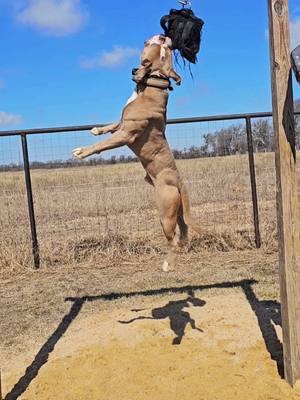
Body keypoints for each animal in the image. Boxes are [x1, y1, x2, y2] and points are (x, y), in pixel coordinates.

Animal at [73, 36, 202, 272]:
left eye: (163, 53)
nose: (163, 37)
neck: (151, 84)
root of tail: (179, 181)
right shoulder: (121, 124)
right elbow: (110, 126)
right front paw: (96, 130)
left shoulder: (126, 134)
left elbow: (101, 145)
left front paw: (82, 152)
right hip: (177, 210)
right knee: (184, 228)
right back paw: (183, 246)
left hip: (165, 213)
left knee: (171, 238)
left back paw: (168, 263)